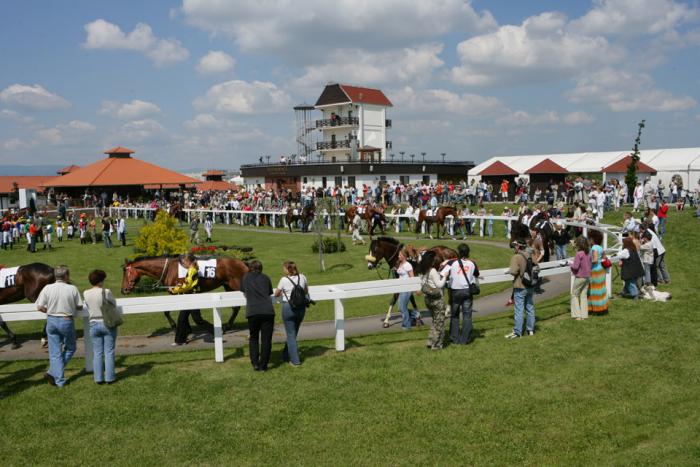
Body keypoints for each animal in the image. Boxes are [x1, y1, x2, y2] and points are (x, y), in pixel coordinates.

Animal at [121, 256, 249, 332]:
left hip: (237, 286)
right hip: (229, 287)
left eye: (125, 273)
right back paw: (228, 325)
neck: (168, 269)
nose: (123, 290)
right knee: (236, 307)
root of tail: (243, 263)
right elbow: (170, 311)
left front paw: (175, 326)